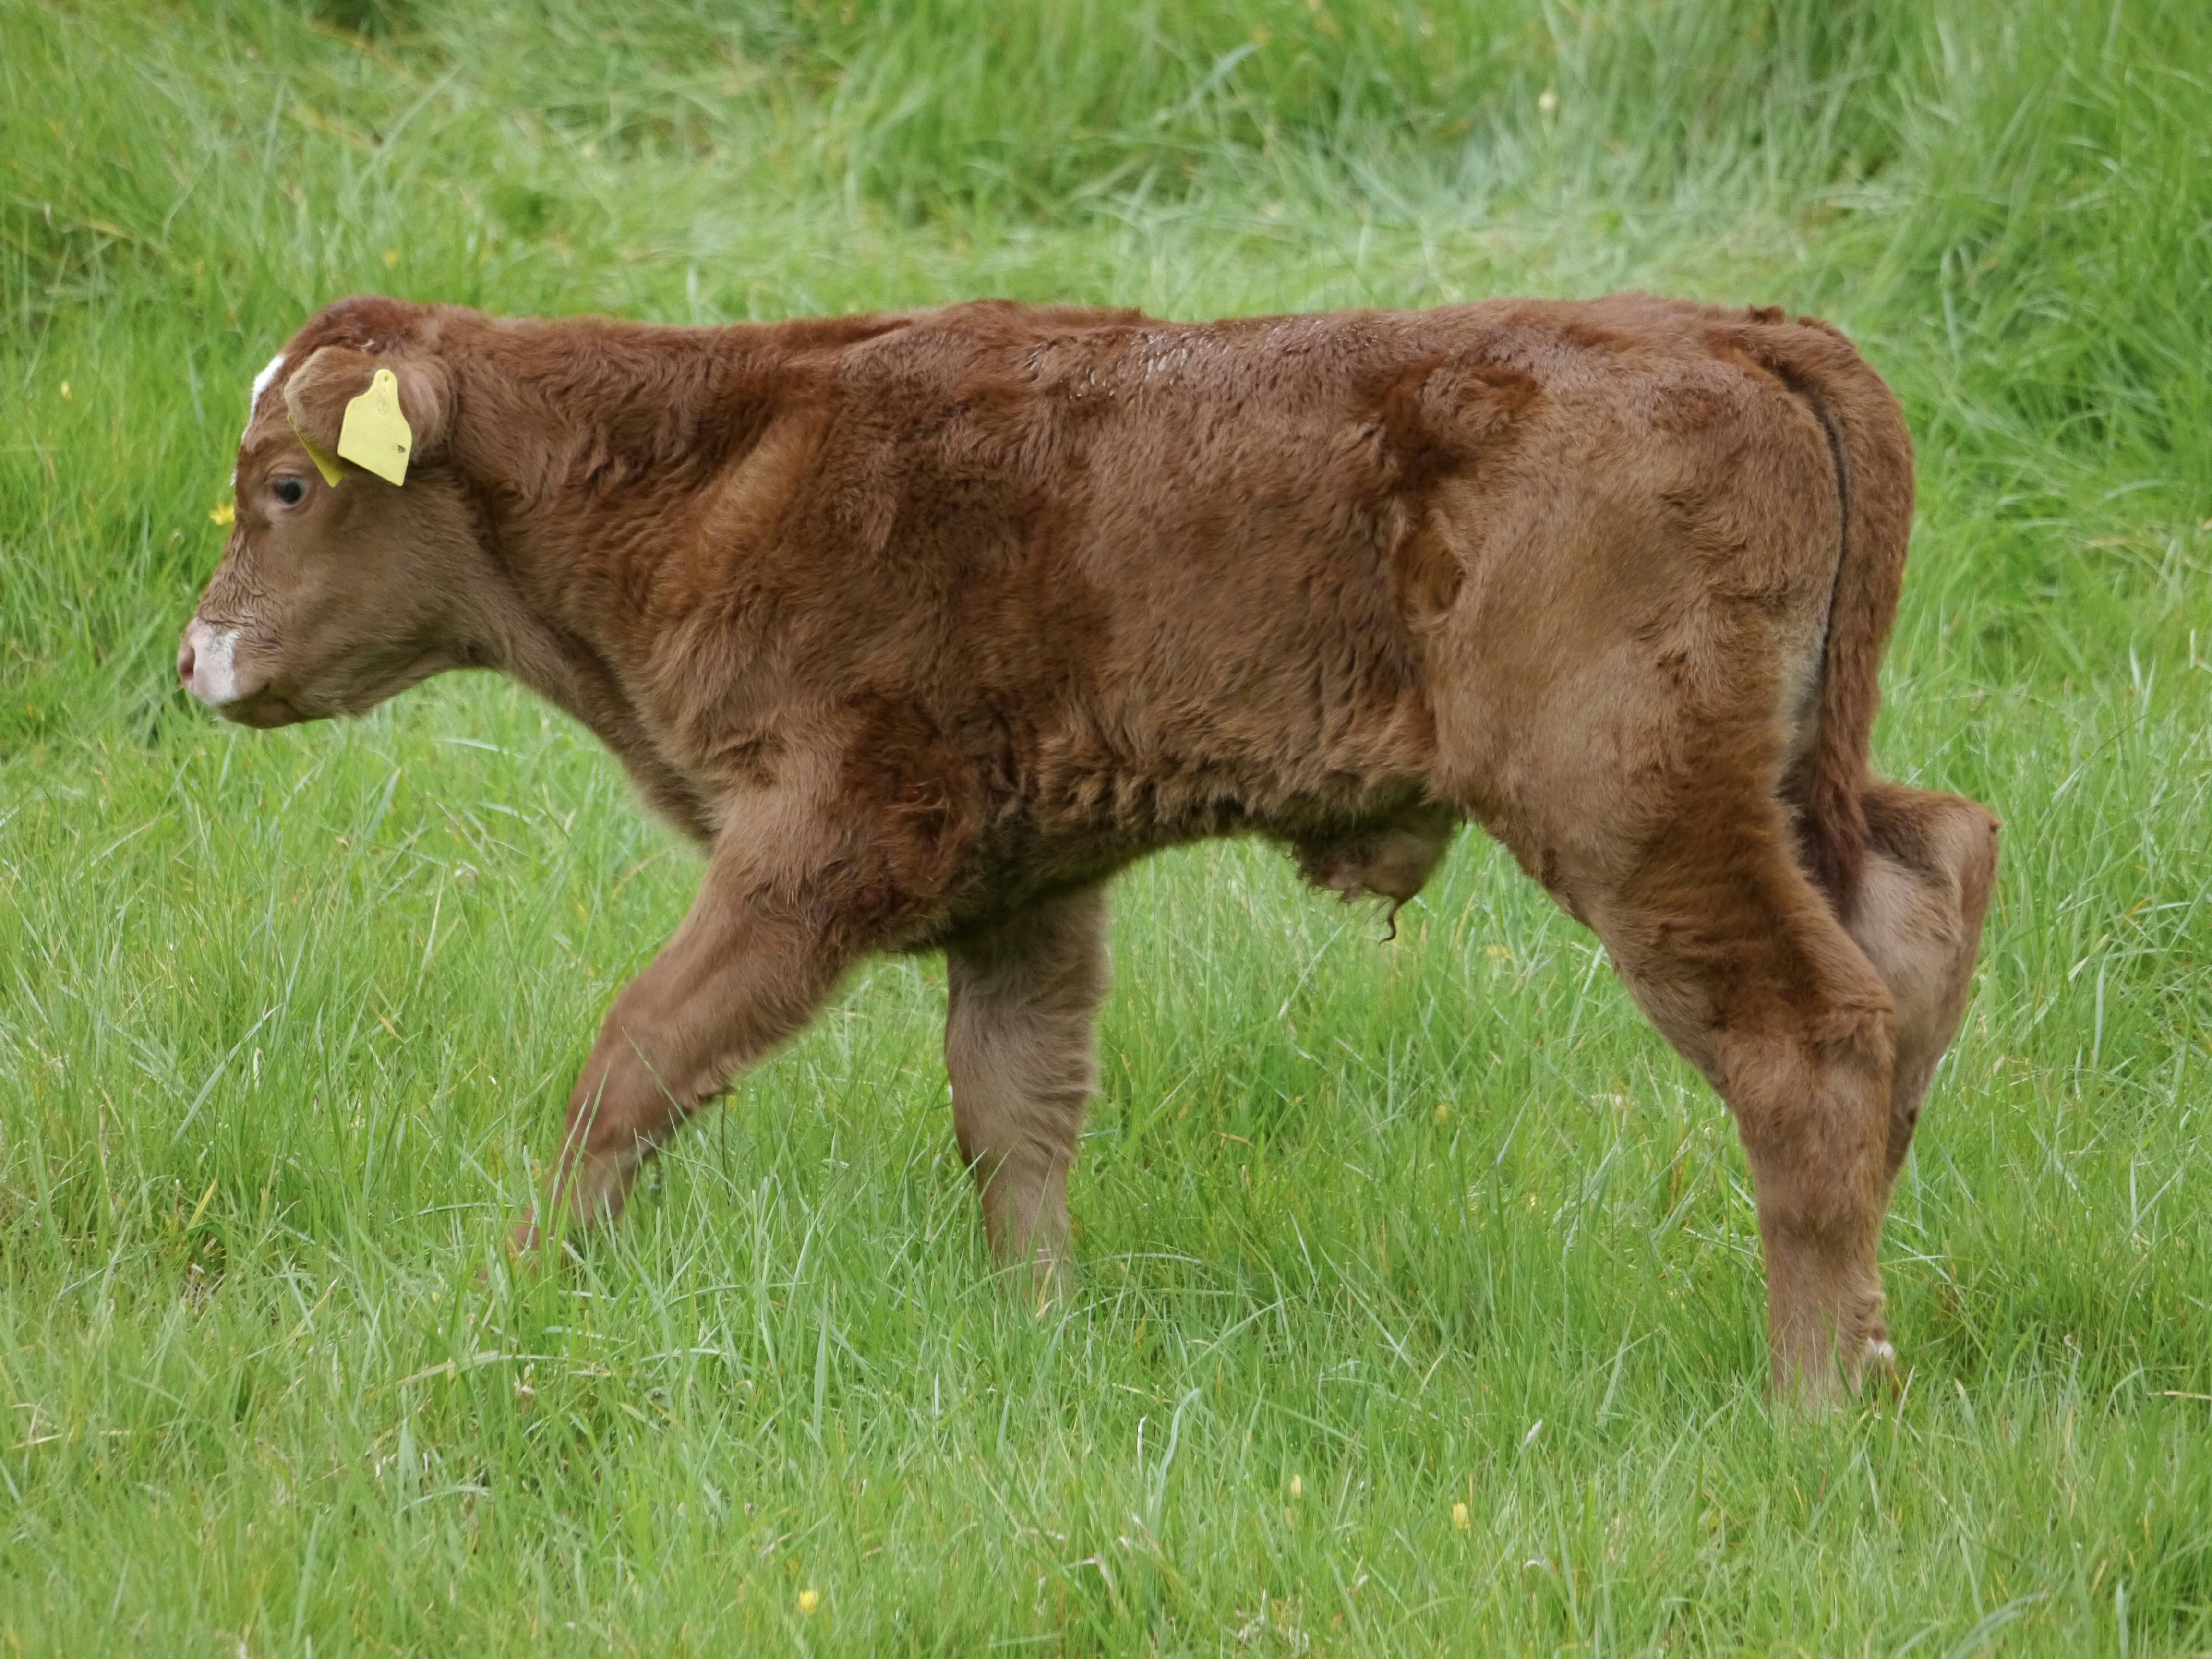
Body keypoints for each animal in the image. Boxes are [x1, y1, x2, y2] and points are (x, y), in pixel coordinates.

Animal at [180, 291, 1997, 1405]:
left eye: (288, 484)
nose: (196, 660)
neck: (717, 465)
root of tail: (1725, 327)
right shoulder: (1022, 889)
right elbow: (1017, 1113)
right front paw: (1037, 1336)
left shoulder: (818, 844)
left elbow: (636, 1057)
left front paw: (526, 1284)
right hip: (1785, 782)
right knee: (1931, 879)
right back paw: (1875, 1331)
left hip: (1633, 799)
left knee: (1805, 1030)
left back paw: (1811, 1392)